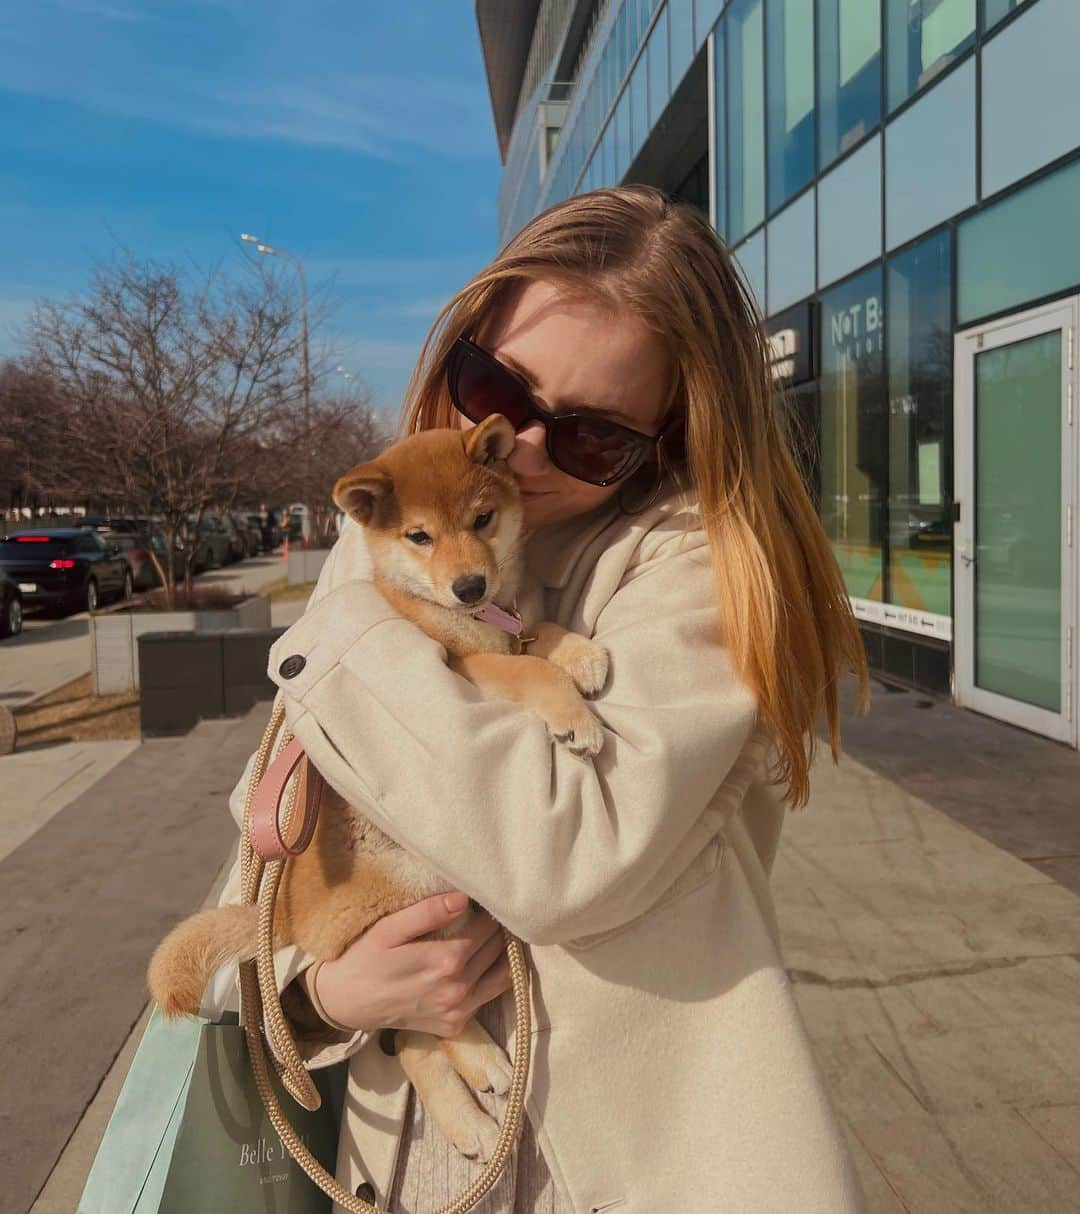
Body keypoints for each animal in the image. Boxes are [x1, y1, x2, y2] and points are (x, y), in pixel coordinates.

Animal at [147, 420, 609, 1165]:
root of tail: (285, 923)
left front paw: (582, 652)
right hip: (416, 899)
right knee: (417, 1032)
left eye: (482, 519)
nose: (470, 584)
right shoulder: (462, 667)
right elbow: (528, 672)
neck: (472, 618)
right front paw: (574, 715)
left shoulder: (512, 626)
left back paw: (482, 1073)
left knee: (418, 1032)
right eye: (419, 536)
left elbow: (540, 636)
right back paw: (475, 1106)